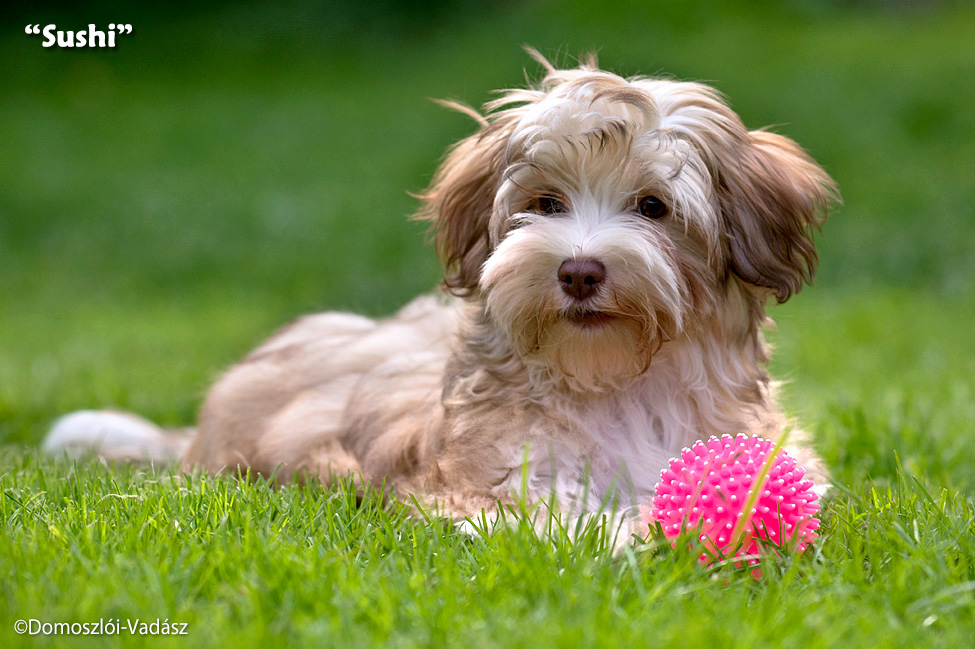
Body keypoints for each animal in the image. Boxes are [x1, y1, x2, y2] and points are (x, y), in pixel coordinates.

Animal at [45, 53, 840, 532]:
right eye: (546, 204)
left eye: (653, 207)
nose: (578, 271)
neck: (617, 385)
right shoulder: (483, 482)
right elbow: (554, 518)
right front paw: (627, 534)